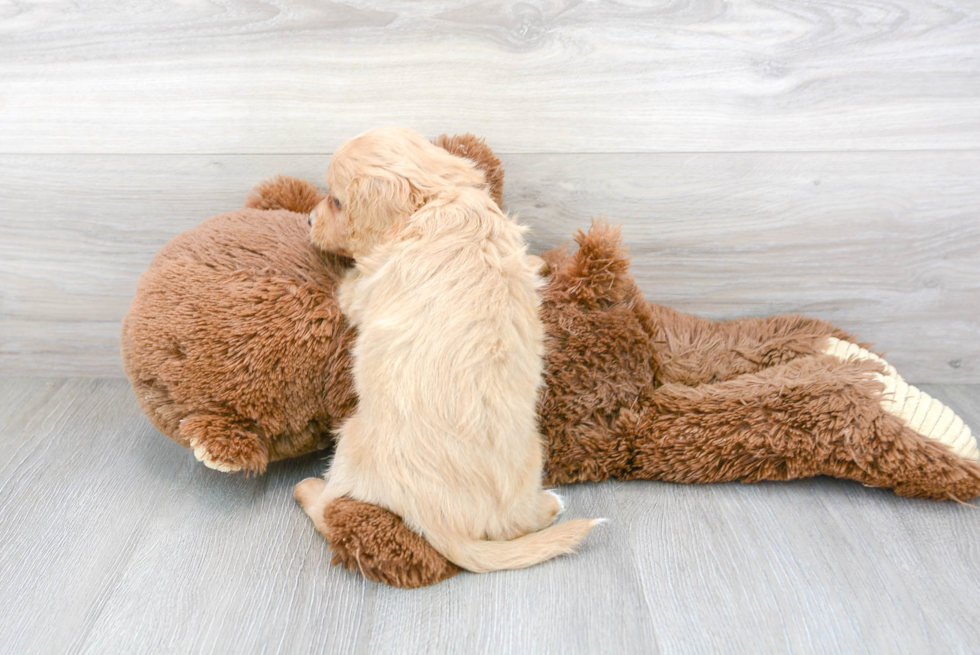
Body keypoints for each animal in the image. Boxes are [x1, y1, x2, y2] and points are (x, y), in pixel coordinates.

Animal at [294, 125, 596, 572]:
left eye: (335, 200)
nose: (309, 220)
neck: (439, 200)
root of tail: (440, 524)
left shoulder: (364, 290)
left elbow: (348, 287)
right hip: (533, 452)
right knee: (517, 525)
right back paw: (549, 505)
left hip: (351, 438)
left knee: (331, 508)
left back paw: (308, 488)